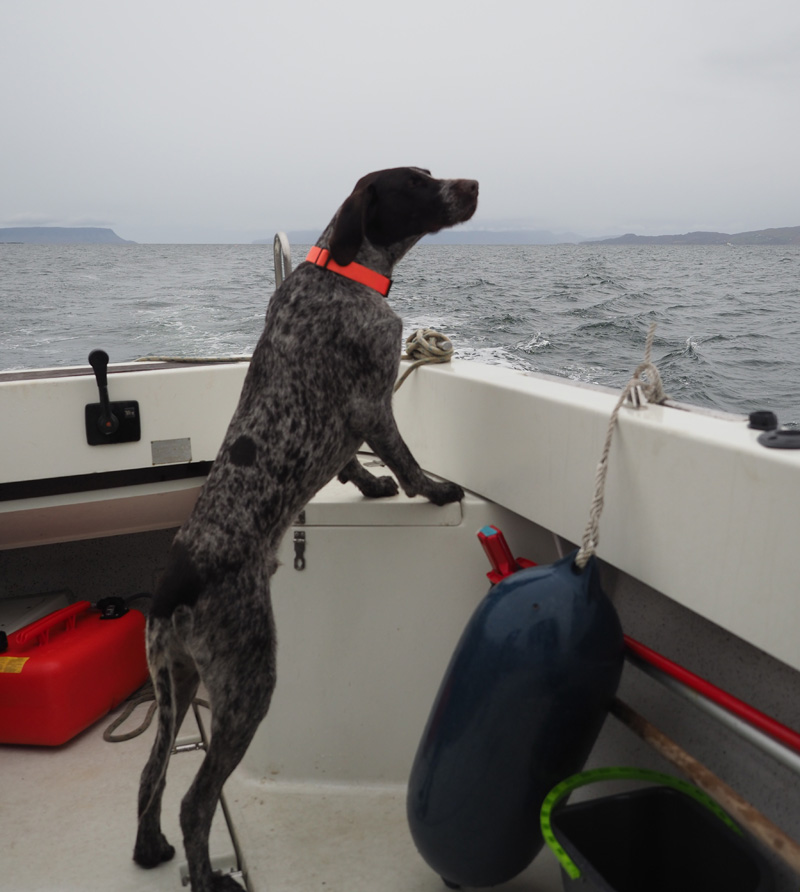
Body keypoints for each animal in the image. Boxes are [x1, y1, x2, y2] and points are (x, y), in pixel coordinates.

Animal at [134, 167, 478, 892]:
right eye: (418, 181)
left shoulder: (347, 425)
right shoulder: (372, 400)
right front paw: (432, 490)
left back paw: (149, 849)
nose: (474, 184)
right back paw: (209, 877)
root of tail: (172, 587)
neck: (345, 269)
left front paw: (371, 486)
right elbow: (406, 460)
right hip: (247, 683)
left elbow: (355, 464)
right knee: (195, 800)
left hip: (175, 682)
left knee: (151, 773)